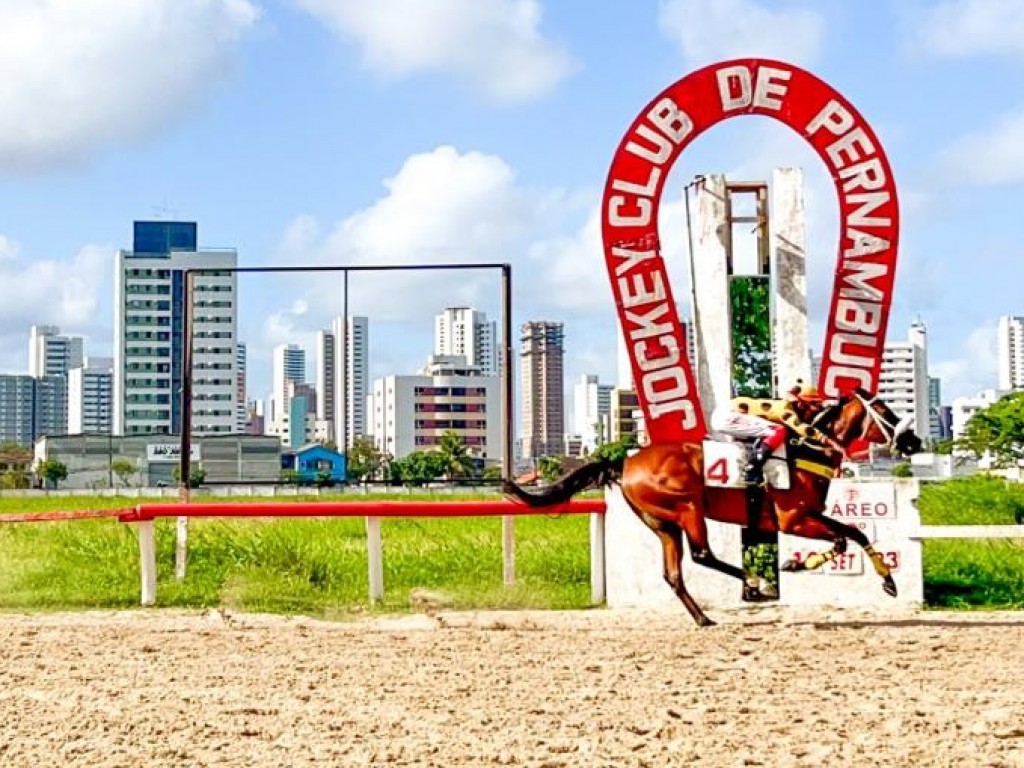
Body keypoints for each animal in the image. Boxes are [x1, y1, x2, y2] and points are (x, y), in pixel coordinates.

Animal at [499, 387, 925, 626]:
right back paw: (758, 585)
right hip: (688, 507)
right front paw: (792, 565)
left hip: (662, 523)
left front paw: (889, 581)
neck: (806, 447)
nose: (915, 441)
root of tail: (626, 462)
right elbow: (842, 539)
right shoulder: (793, 519)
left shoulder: (809, 515)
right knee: (703, 554)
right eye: (886, 412)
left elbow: (855, 532)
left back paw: (704, 617)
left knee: (674, 574)